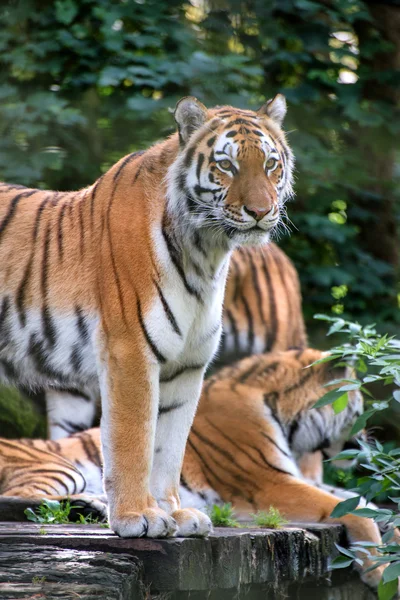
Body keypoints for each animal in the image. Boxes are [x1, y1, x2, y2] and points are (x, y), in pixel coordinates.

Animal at [0, 96, 294, 536]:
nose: (261, 211)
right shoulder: (130, 352)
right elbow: (133, 439)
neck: (206, 253)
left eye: (271, 163)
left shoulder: (187, 366)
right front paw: (137, 516)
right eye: (227, 165)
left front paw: (173, 513)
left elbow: (169, 448)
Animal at [0, 350, 388, 588]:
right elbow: (351, 509)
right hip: (60, 468)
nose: (370, 436)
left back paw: (97, 507)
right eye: (359, 401)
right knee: (20, 500)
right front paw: (380, 572)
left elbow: (361, 501)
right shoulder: (270, 482)